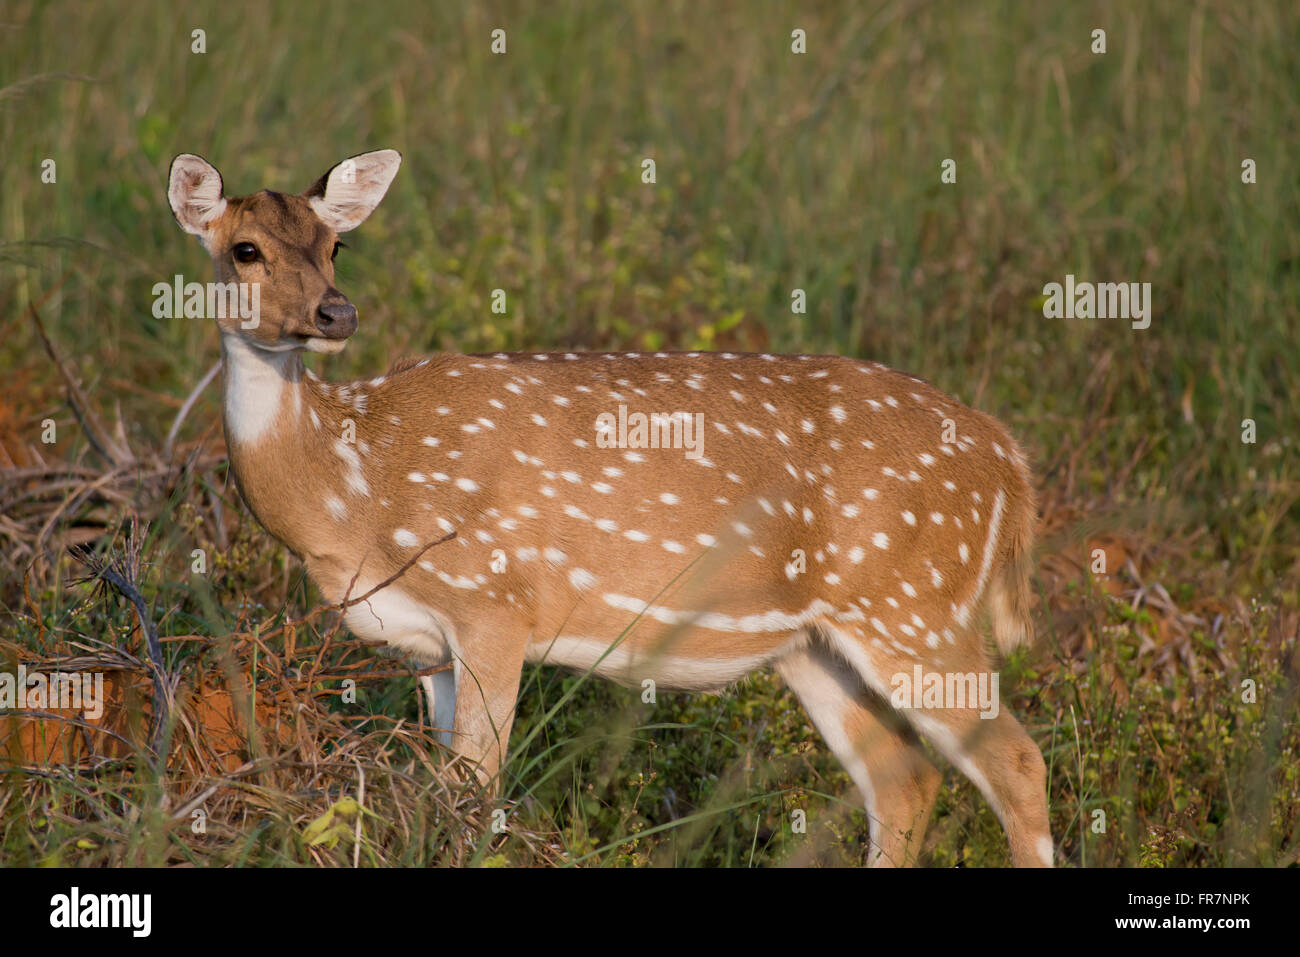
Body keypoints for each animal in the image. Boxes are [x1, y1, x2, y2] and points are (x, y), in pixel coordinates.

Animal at [165, 149, 1055, 868]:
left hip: (914, 602)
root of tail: (1010, 459)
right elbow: (443, 792)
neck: (356, 485)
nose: (335, 313)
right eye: (245, 250)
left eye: (335, 245)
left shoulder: (496, 601)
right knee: (906, 780)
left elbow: (477, 791)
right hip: (817, 643)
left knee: (1016, 763)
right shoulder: (426, 643)